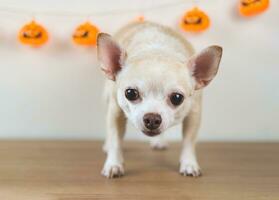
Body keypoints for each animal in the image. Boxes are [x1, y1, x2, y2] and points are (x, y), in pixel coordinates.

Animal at [97, 21, 223, 178]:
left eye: (177, 98)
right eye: (130, 93)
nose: (152, 118)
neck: (158, 52)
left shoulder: (194, 114)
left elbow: (189, 142)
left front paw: (189, 164)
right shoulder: (116, 111)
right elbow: (115, 139)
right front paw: (114, 164)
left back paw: (159, 141)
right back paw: (107, 146)